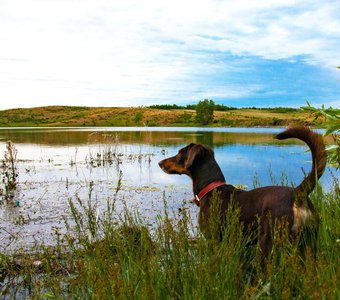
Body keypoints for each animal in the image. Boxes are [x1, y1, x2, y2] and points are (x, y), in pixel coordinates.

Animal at [159, 126, 326, 262]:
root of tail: (297, 193)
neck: (212, 188)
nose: (160, 163)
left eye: (180, 154)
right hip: (309, 244)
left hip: (267, 243)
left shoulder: (213, 239)